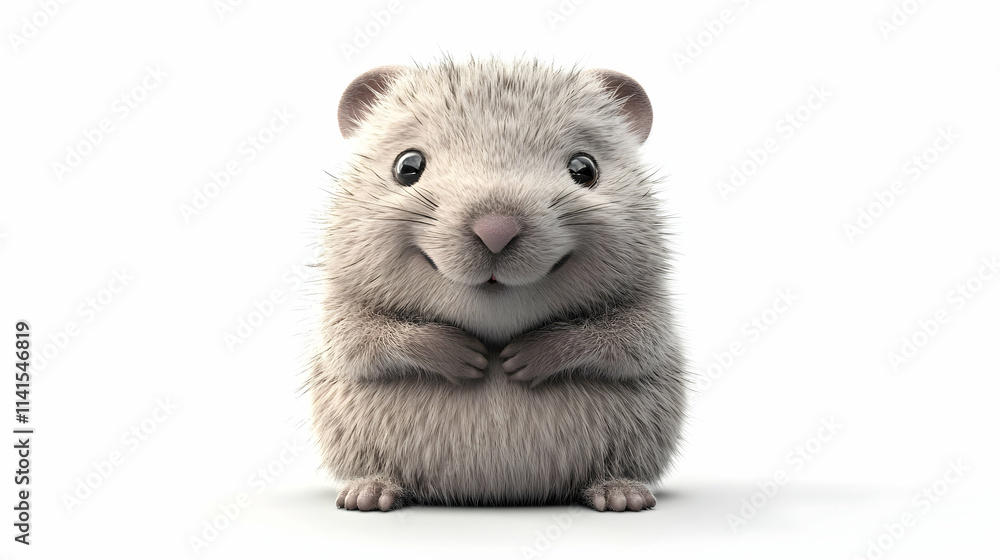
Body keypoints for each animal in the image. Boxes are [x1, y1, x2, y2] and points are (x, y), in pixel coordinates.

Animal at [307, 57, 687, 512]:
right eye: (407, 166)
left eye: (585, 169)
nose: (496, 230)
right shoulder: (340, 306)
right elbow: (354, 342)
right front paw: (457, 354)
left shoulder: (649, 307)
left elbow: (634, 342)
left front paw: (531, 355)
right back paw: (370, 489)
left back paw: (620, 490)